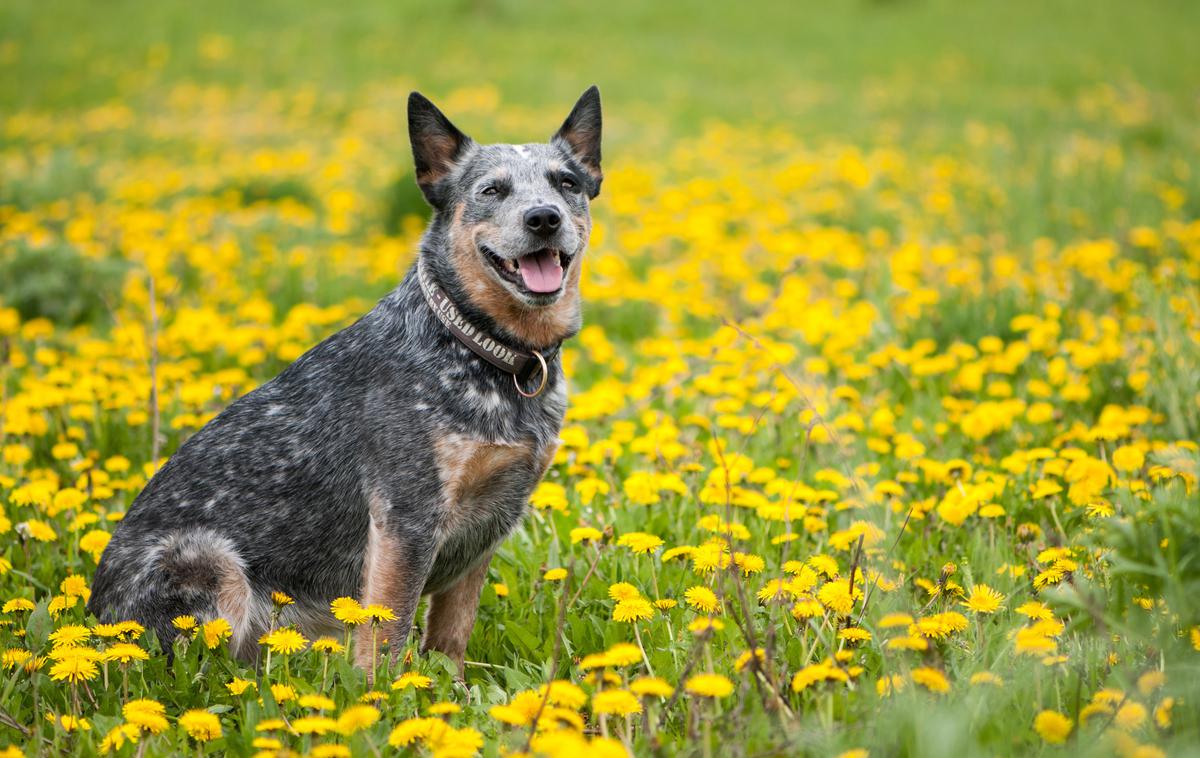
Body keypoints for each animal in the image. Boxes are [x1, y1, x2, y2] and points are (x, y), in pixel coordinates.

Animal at [87, 84, 600, 676]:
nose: (544, 218)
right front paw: (385, 693)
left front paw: (448, 686)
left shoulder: (492, 520)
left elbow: (452, 636)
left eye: (567, 184)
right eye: (493, 190)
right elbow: (387, 633)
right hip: (214, 565)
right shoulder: (406, 518)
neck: (487, 350)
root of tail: (94, 626)